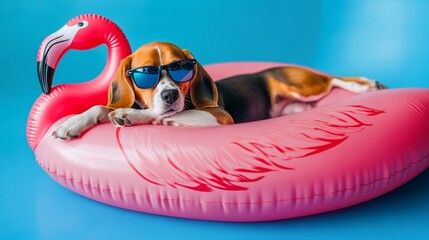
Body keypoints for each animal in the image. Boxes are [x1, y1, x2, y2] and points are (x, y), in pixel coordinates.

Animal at [52, 41, 384, 139]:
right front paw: (72, 123)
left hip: (300, 85)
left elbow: (160, 115)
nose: (170, 95)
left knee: (333, 80)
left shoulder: (219, 117)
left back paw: (367, 85)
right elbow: (99, 107)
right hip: (295, 100)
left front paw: (130, 116)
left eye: (181, 68)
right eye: (146, 73)